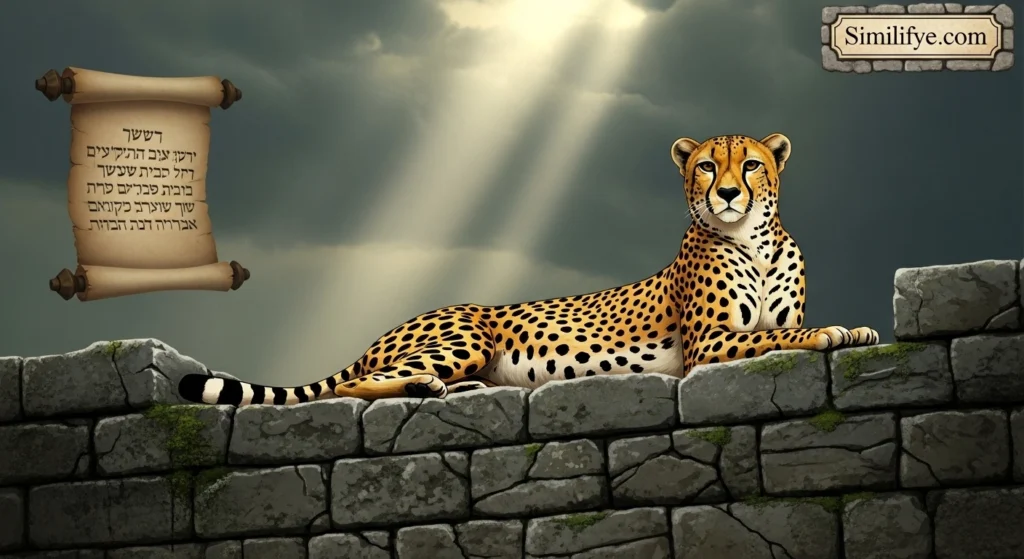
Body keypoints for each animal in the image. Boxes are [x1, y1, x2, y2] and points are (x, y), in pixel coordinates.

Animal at [178, 133, 879, 406]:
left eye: (752, 164)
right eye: (707, 165)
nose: (729, 193)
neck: (751, 239)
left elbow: (782, 325)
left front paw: (859, 328)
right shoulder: (708, 343)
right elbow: (781, 333)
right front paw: (834, 331)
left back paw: (458, 388)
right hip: (465, 336)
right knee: (354, 387)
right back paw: (430, 386)